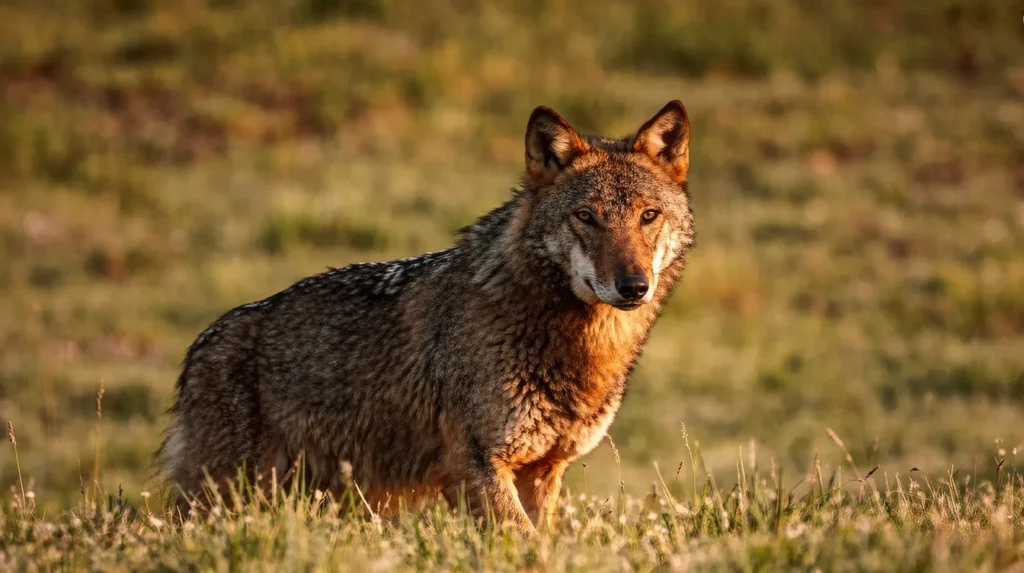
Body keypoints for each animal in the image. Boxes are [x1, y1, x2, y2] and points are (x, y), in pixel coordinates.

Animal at [158, 100, 695, 533]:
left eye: (648, 216)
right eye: (586, 216)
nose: (634, 286)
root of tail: (201, 345)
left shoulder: (545, 470)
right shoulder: (477, 466)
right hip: (227, 495)